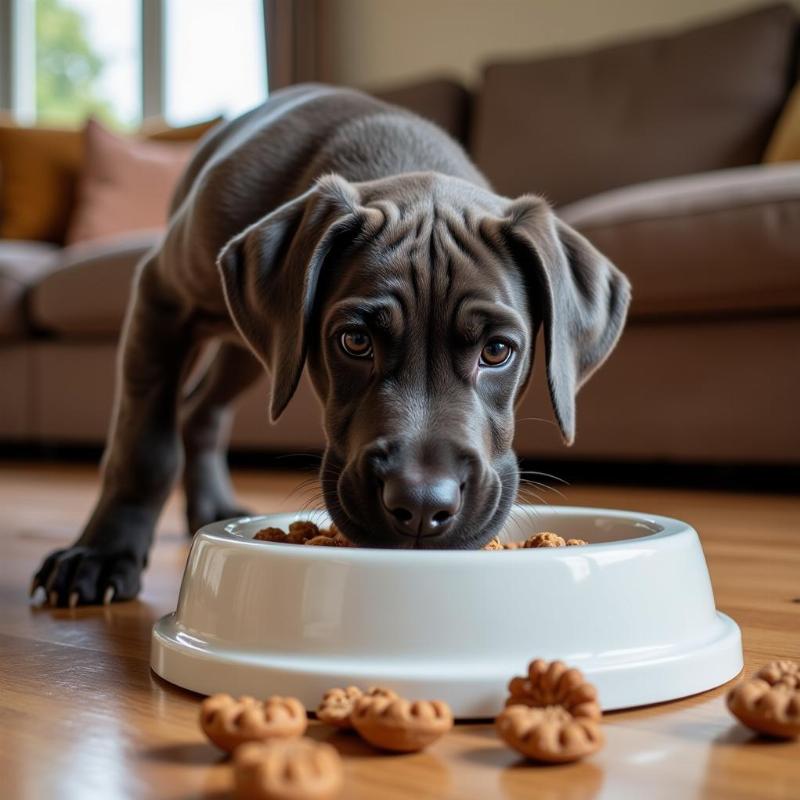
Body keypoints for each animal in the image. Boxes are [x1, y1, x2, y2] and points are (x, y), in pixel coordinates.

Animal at [32, 84, 632, 608]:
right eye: (355, 341)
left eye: (498, 352)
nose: (419, 507)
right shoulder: (161, 297)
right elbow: (144, 444)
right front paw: (101, 555)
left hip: (254, 352)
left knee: (204, 410)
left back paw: (212, 503)